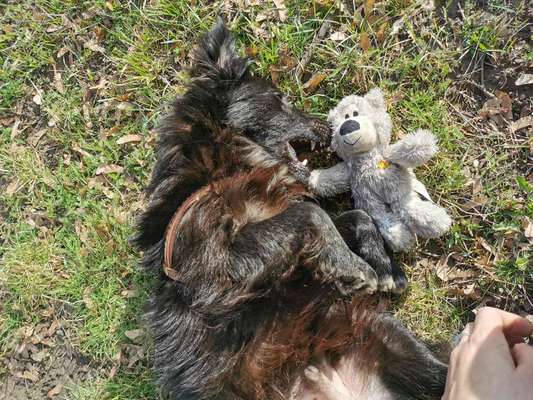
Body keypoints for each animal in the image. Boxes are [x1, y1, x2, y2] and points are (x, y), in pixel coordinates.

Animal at [133, 21, 444, 400]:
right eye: (281, 100)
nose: (333, 127)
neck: (226, 168)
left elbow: (354, 217)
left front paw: (384, 267)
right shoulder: (217, 270)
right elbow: (311, 216)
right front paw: (355, 266)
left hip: (392, 338)